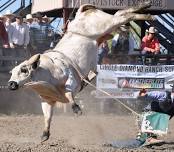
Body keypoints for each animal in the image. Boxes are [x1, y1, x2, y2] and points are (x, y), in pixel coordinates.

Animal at [8, 2, 155, 142]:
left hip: (105, 24)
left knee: (122, 16)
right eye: (12, 73)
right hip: (105, 28)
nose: (11, 84)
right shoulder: (47, 101)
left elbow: (68, 93)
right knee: (120, 13)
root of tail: (79, 15)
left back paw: (147, 12)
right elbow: (47, 117)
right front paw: (45, 134)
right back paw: (146, 10)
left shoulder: (71, 78)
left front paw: (76, 109)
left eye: (24, 69)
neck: (47, 74)